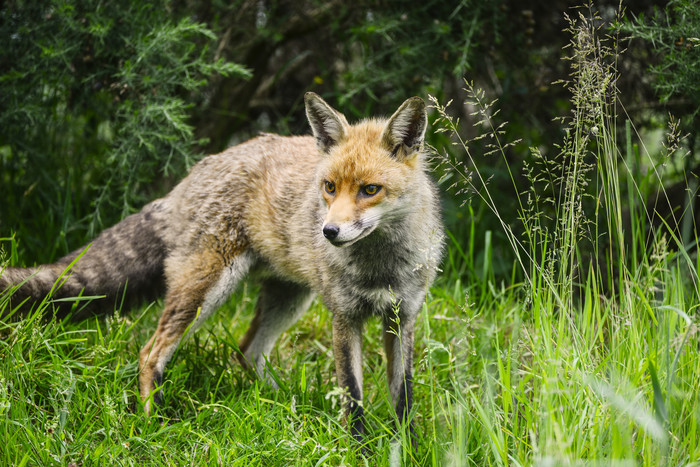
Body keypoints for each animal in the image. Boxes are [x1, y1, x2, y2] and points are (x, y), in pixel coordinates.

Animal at [0, 91, 442, 446]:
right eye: (330, 187)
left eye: (370, 190)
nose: (328, 231)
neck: (380, 267)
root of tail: (198, 169)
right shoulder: (345, 317)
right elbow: (352, 396)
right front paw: (360, 450)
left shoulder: (402, 317)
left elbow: (403, 398)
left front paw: (408, 449)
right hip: (205, 288)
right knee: (150, 353)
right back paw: (154, 425)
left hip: (289, 297)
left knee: (246, 353)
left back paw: (284, 404)